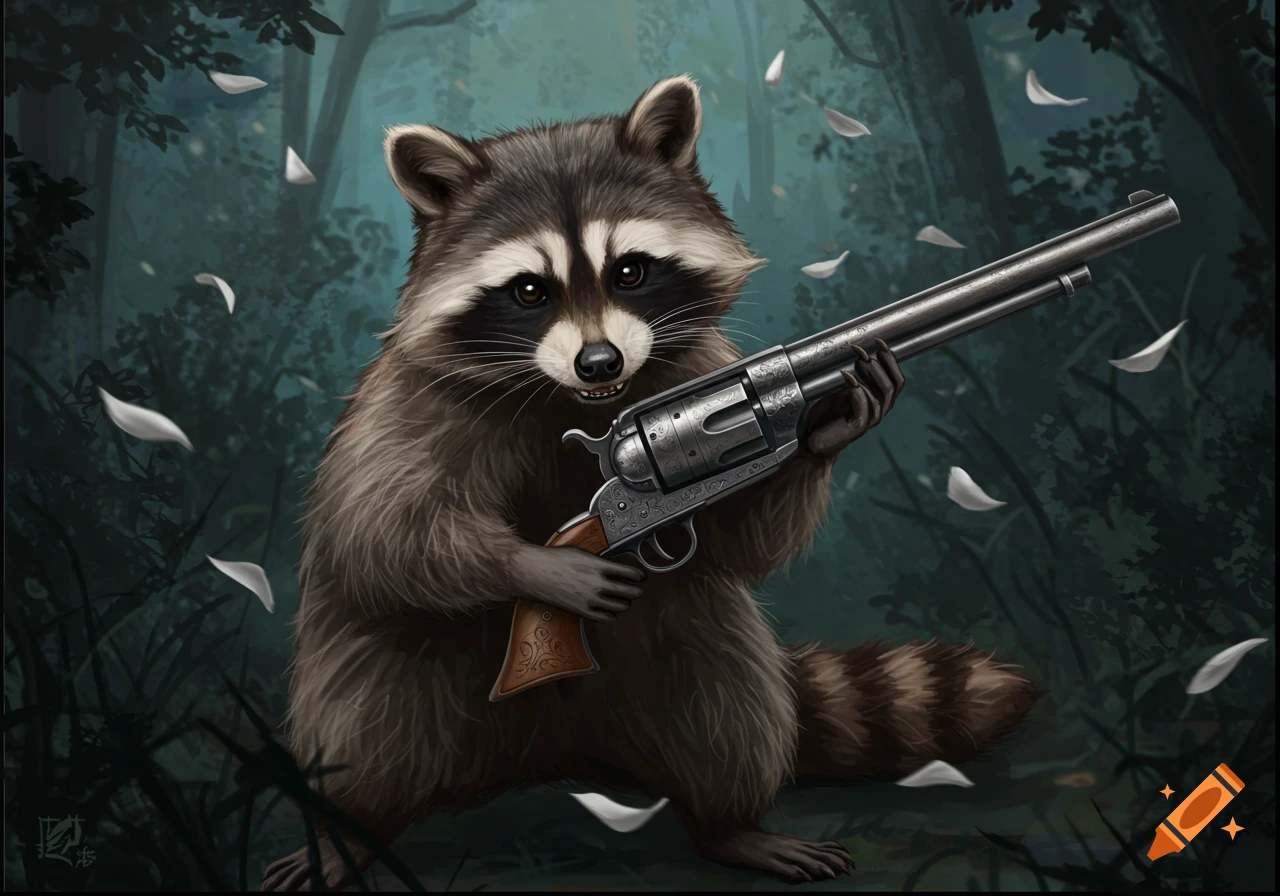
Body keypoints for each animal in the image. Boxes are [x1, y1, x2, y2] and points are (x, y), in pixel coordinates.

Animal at [263, 76, 1039, 891]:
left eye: (630, 271)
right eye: (529, 291)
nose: (599, 362)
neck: (582, 408)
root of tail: (544, 757)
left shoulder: (699, 367)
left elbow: (744, 547)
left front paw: (831, 426)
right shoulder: (411, 407)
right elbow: (382, 530)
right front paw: (550, 571)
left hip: (678, 668)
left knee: (723, 696)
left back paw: (730, 825)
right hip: (388, 687)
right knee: (370, 720)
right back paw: (348, 832)